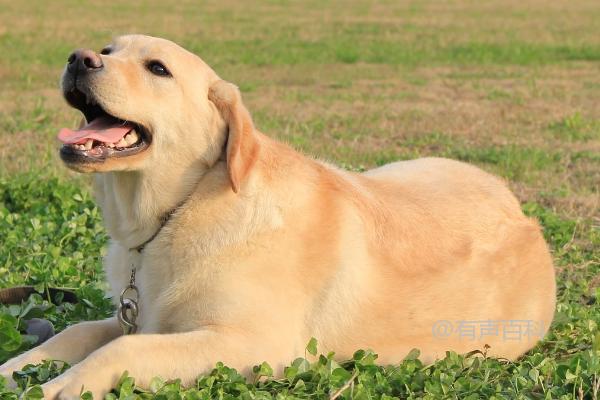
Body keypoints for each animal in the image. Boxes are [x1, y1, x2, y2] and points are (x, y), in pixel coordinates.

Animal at [0, 36, 556, 398]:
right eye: (109, 49)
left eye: (158, 69)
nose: (79, 58)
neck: (178, 212)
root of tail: (523, 215)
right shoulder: (132, 315)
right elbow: (76, 333)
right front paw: (17, 368)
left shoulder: (257, 345)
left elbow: (121, 353)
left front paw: (60, 386)